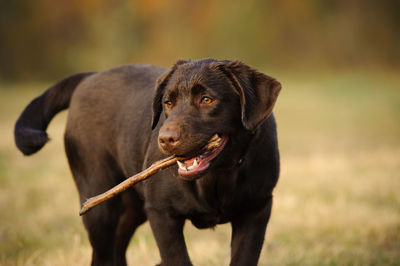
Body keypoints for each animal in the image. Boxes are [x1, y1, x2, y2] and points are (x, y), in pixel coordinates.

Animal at [14, 58, 282, 266]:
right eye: (168, 102)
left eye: (207, 99)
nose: (166, 139)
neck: (216, 178)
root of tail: (89, 77)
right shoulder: (162, 214)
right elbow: (178, 259)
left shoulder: (256, 210)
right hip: (99, 205)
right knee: (102, 253)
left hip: (132, 206)